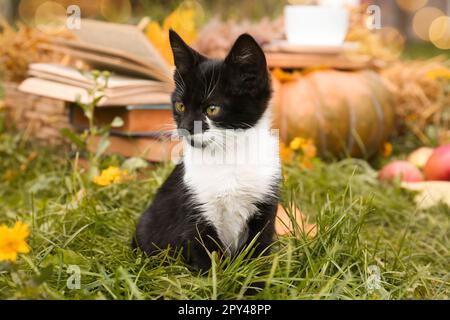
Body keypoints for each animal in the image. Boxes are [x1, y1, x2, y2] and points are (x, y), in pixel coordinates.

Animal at [134, 30, 280, 270]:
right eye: (180, 105)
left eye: (212, 109)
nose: (185, 127)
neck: (228, 156)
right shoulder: (195, 206)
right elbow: (205, 251)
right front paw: (215, 276)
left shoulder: (266, 199)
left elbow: (258, 247)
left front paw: (255, 277)